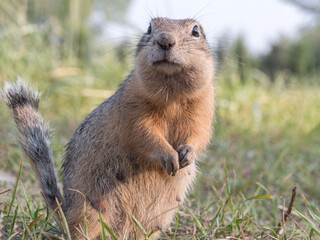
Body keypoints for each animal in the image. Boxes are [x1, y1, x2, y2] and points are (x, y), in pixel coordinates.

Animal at [1, 17, 215, 238]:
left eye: (196, 31)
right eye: (149, 28)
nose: (165, 40)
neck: (171, 93)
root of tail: (65, 214)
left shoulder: (204, 110)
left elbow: (200, 135)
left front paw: (187, 153)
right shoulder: (133, 112)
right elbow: (144, 135)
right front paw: (169, 155)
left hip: (155, 222)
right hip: (90, 211)